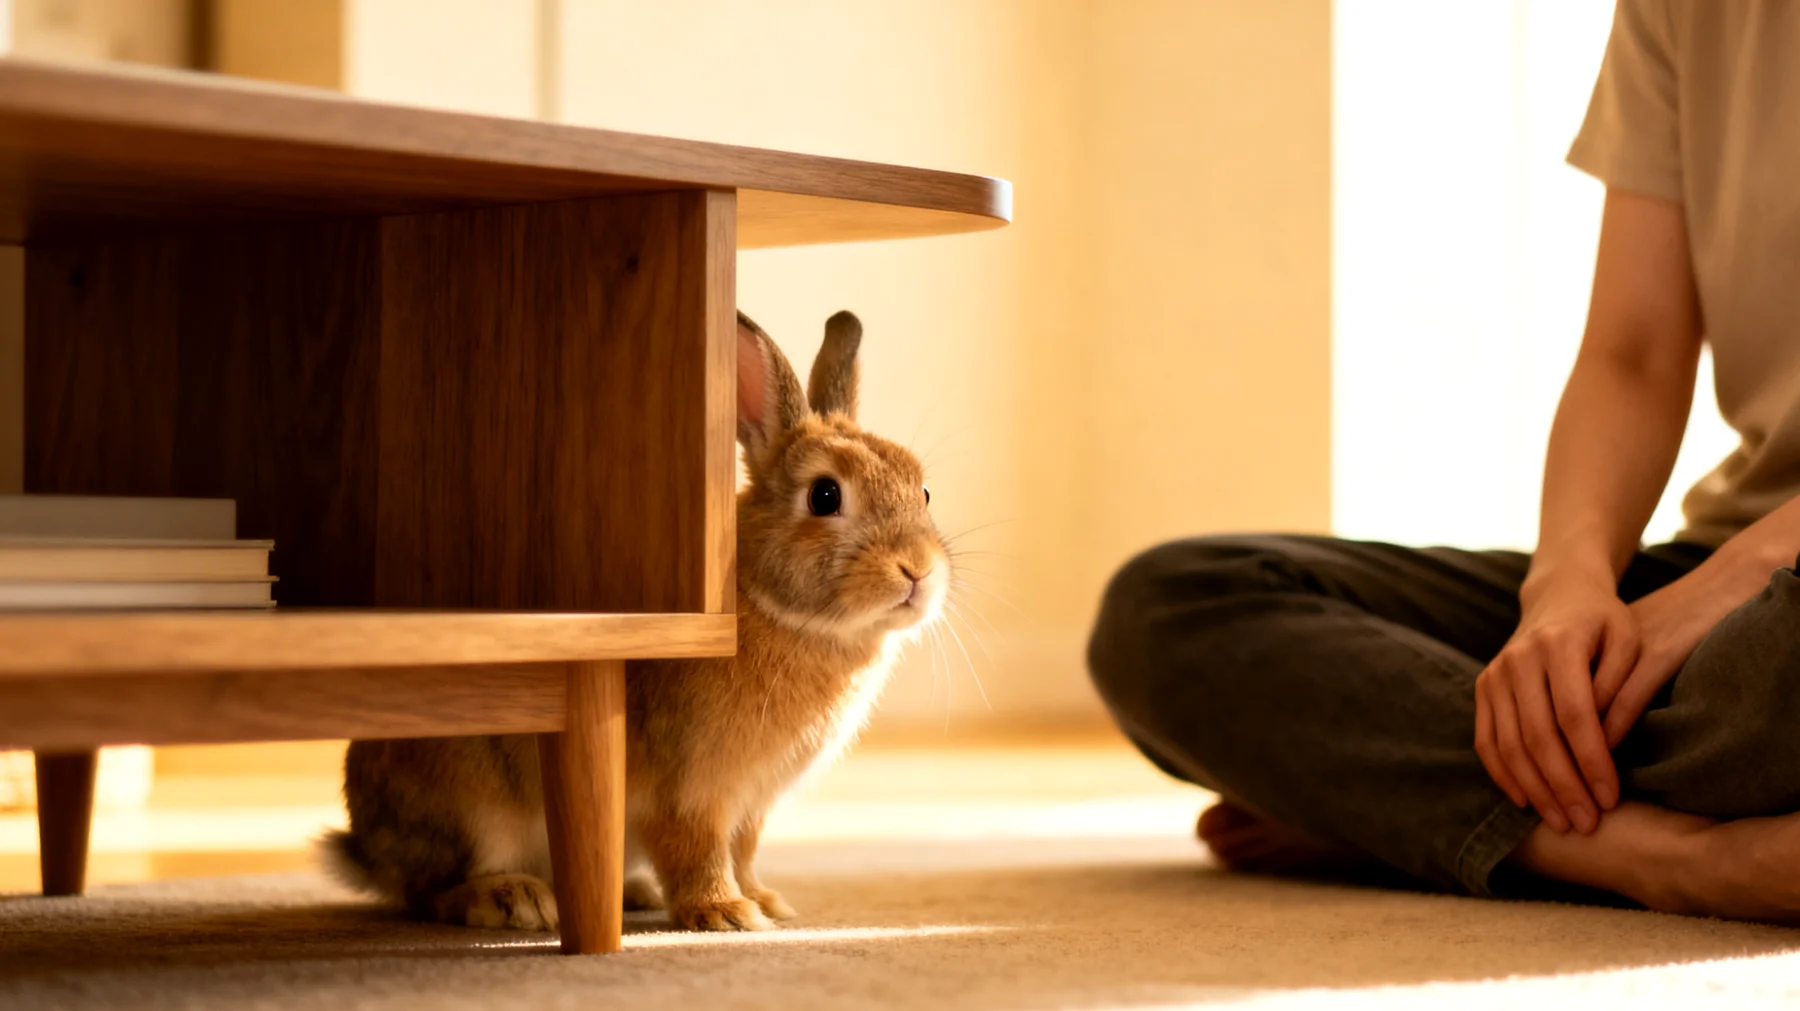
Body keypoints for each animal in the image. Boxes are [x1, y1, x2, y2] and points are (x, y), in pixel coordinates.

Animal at [323, 309, 951, 932]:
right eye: (824, 496)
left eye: (922, 491)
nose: (918, 570)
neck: (782, 612)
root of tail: (368, 850)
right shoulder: (689, 792)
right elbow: (697, 851)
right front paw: (725, 914)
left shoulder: (749, 807)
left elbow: (743, 852)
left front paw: (765, 901)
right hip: (473, 809)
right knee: (431, 891)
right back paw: (512, 899)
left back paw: (631, 891)